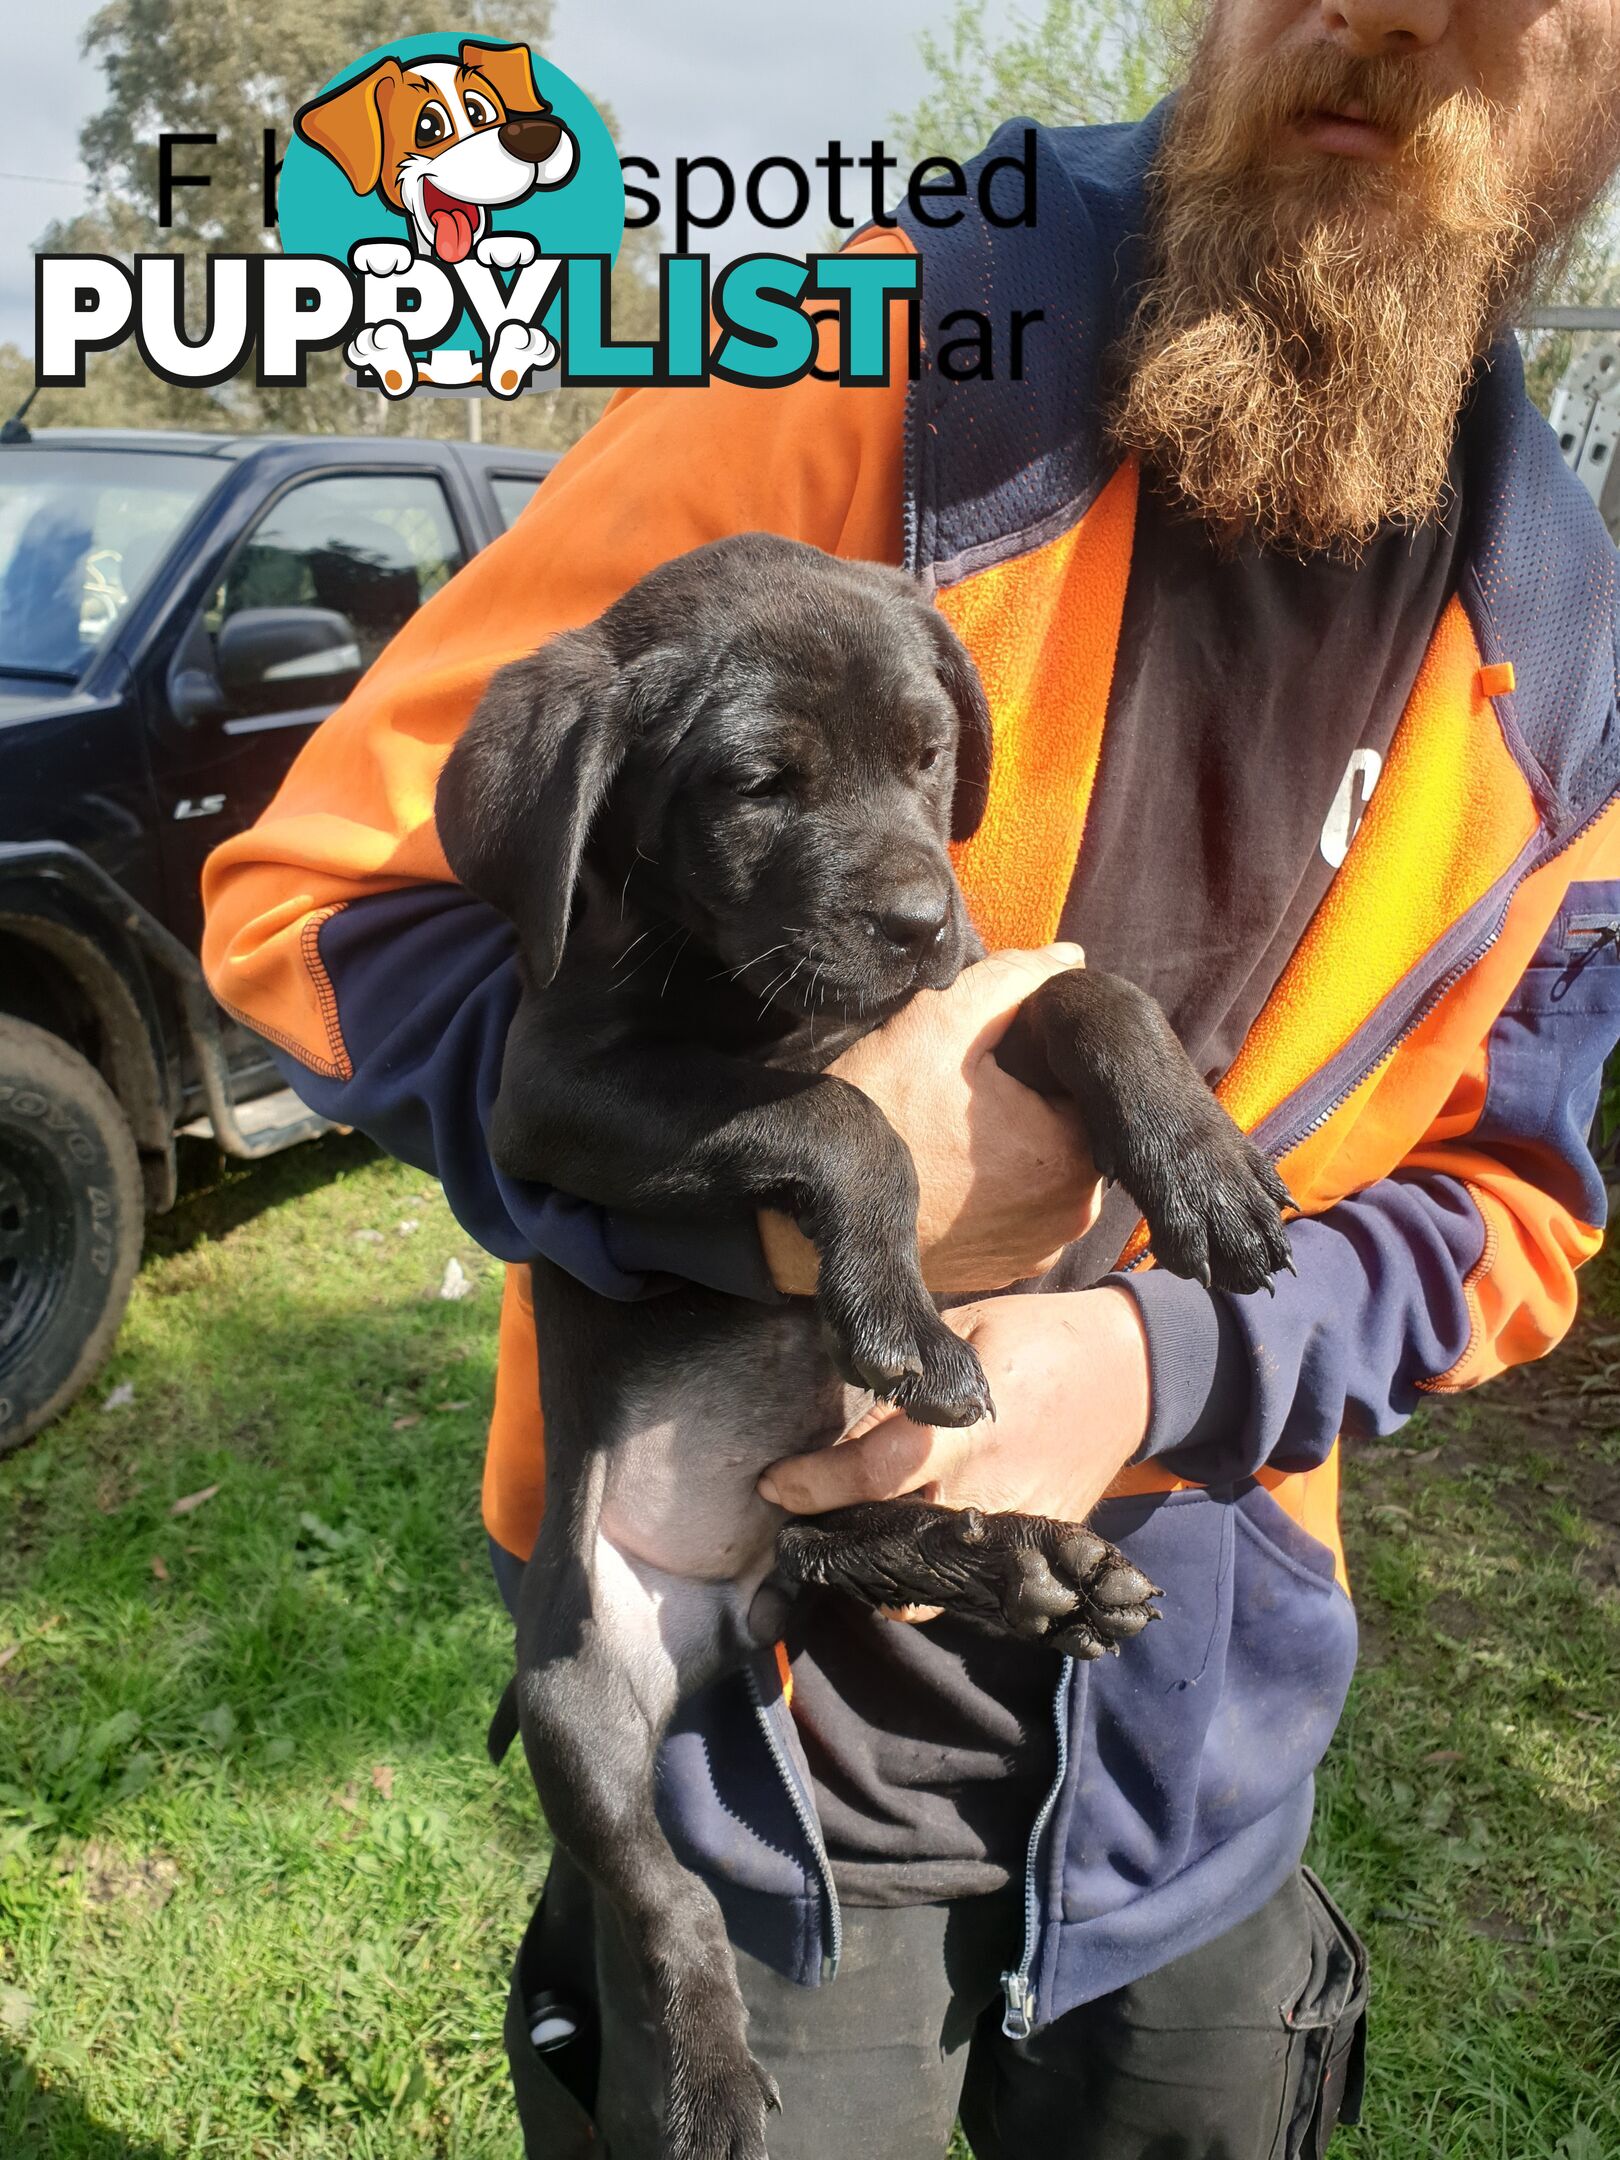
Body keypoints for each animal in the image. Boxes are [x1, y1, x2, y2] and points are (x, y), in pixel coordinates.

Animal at [434, 527, 1296, 2160]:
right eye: (758, 783)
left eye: (928, 754)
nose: (915, 924)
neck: (764, 993)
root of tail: (719, 1609)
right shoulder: (555, 1094)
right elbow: (838, 1116)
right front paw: (895, 1308)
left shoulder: (989, 996)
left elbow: (1092, 990)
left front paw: (1202, 1164)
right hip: (584, 1697)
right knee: (669, 1900)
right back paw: (711, 2078)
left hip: (798, 1548)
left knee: (837, 1548)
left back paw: (1029, 1568)